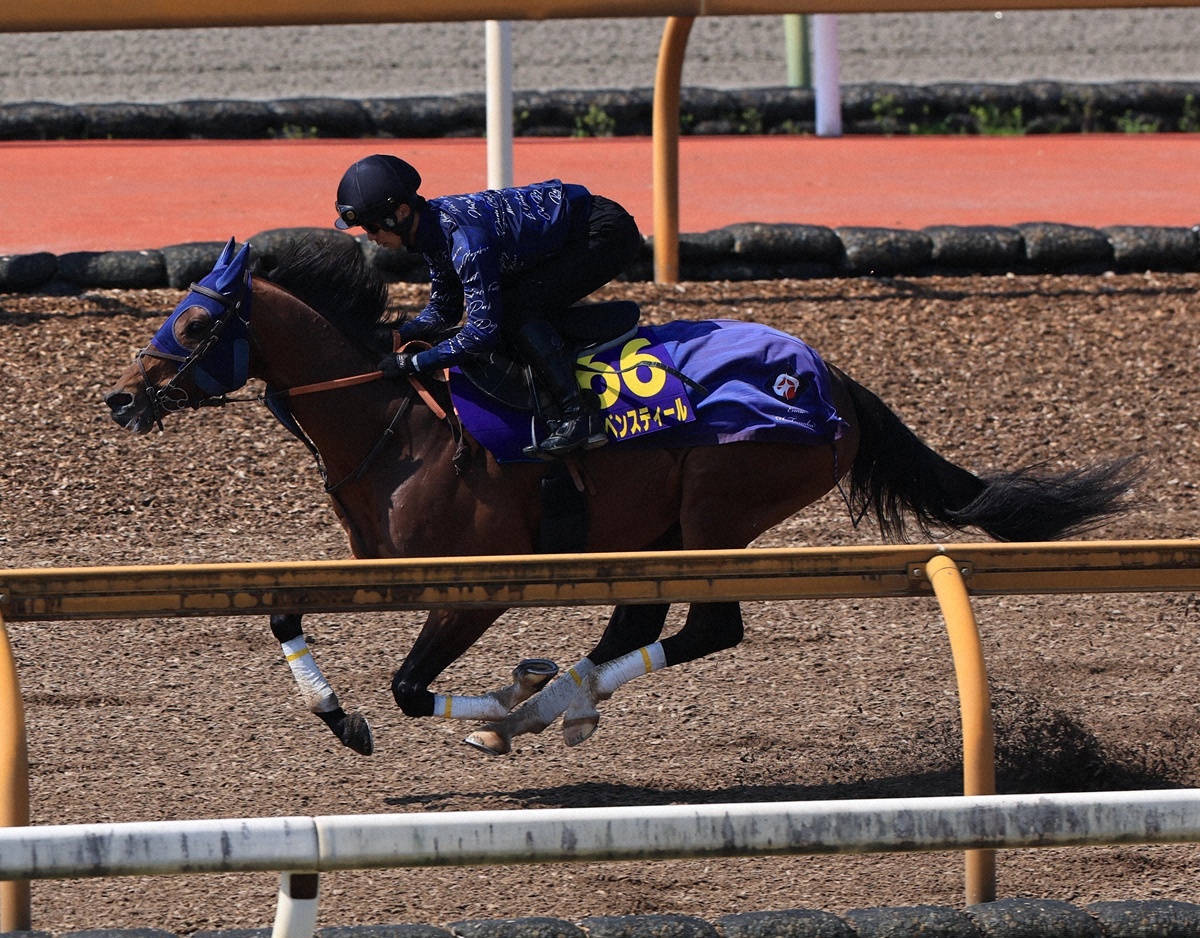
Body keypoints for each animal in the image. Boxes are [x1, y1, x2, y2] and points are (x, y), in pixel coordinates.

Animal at [103, 236, 1139, 758]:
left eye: (191, 323)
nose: (118, 398)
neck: (395, 421)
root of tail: (830, 378)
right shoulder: (381, 565)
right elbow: (283, 608)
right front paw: (343, 710)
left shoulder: (477, 583)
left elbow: (405, 689)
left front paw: (469, 708)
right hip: (663, 525)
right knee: (639, 618)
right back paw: (553, 702)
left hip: (720, 510)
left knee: (706, 625)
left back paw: (539, 706)